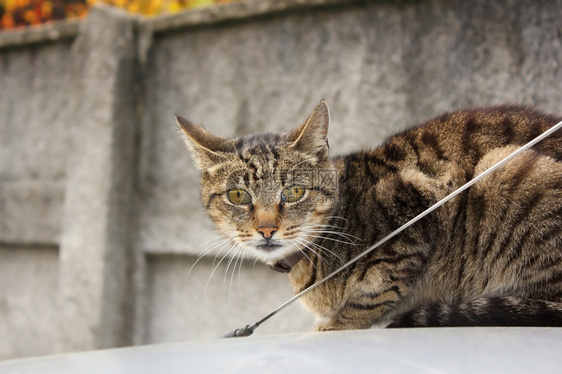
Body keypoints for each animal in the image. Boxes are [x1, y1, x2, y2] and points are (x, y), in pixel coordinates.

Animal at [177, 100, 560, 330]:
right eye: (238, 196)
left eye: (294, 192)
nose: (267, 229)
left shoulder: (417, 203)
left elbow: (377, 290)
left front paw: (336, 324)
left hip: (509, 170)